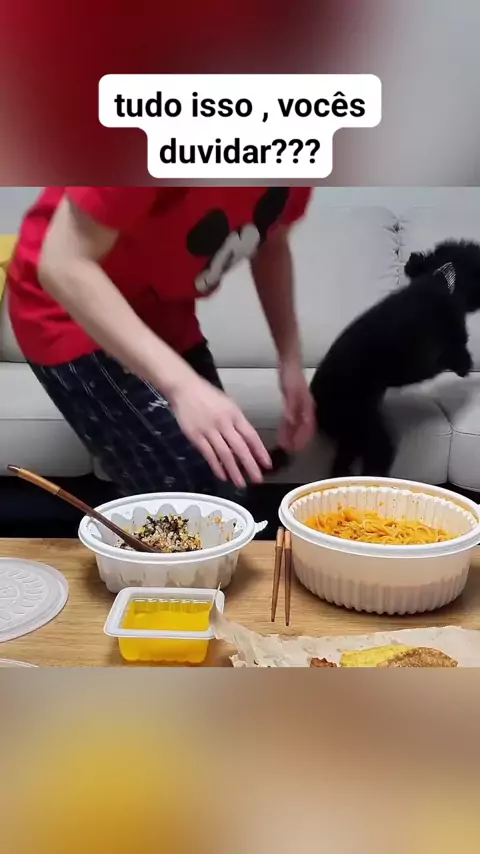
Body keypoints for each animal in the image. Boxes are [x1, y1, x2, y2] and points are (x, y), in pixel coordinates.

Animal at [270, 239, 480, 478]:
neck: (441, 280)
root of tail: (313, 405)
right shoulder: (420, 361)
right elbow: (451, 354)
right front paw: (464, 364)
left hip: (352, 435)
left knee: (340, 464)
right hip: (365, 429)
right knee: (374, 457)